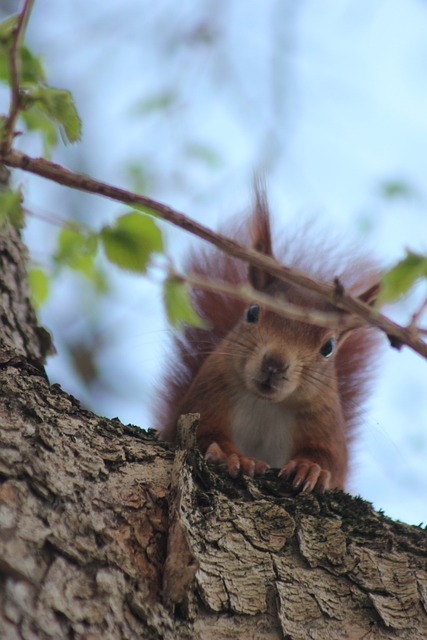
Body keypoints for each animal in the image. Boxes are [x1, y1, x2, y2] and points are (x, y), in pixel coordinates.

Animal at [158, 188, 382, 492]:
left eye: (329, 347)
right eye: (252, 312)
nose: (274, 364)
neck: (265, 404)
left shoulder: (325, 424)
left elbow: (330, 461)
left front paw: (309, 468)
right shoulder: (207, 398)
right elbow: (205, 434)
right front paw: (234, 457)